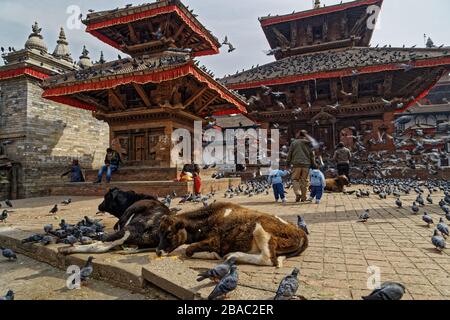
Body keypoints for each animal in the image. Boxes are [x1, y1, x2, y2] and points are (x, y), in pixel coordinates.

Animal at [156, 202, 308, 268]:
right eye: (159, 232)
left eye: (169, 233)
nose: (157, 251)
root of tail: (300, 231)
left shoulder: (215, 241)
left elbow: (188, 250)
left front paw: (213, 254)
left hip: (260, 228)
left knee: (268, 259)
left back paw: (233, 255)